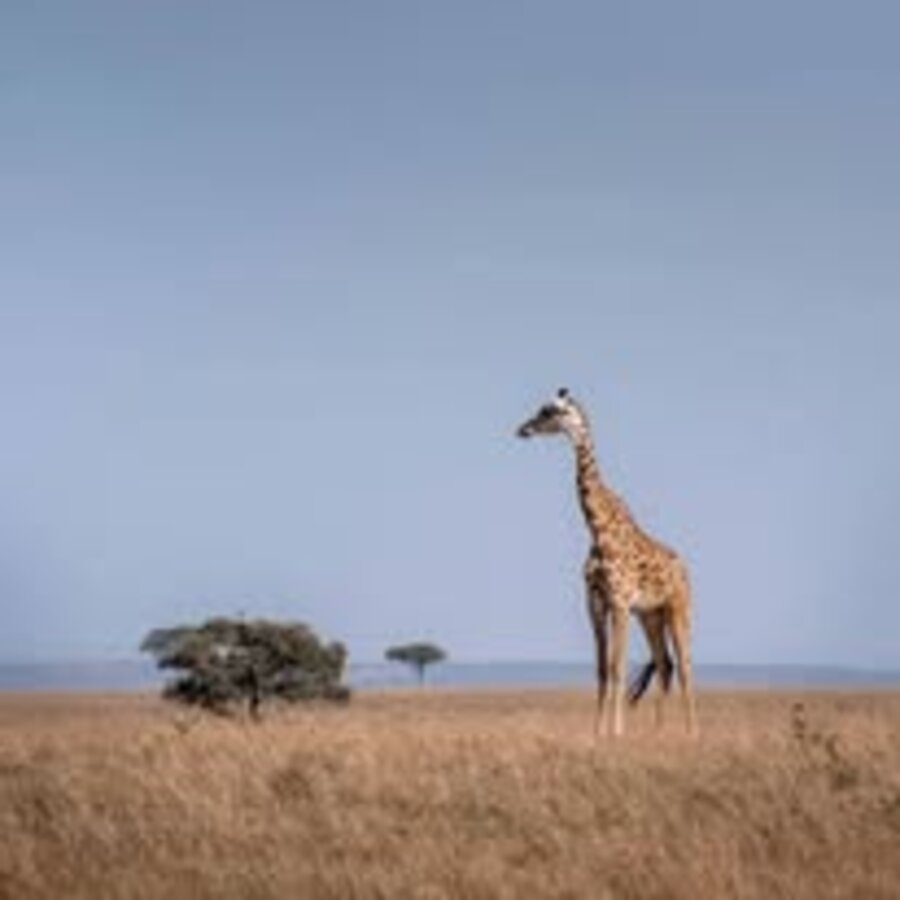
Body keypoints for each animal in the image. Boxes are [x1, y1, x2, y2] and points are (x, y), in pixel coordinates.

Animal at [516, 388, 696, 737]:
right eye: (542, 409)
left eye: (553, 411)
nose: (523, 429)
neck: (597, 530)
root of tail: (685, 570)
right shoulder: (596, 603)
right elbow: (602, 668)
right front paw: (598, 732)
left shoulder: (620, 602)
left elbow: (617, 667)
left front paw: (616, 732)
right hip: (650, 615)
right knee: (665, 664)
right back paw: (657, 732)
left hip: (678, 608)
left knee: (684, 665)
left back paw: (692, 733)